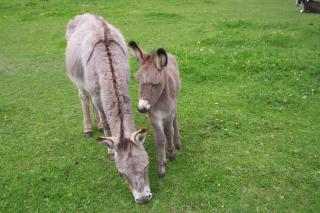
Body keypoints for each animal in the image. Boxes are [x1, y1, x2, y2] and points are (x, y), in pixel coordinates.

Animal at [65, 13, 152, 203]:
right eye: (121, 174)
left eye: (146, 165)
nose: (143, 199)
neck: (108, 63)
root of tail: (85, 14)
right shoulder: (97, 94)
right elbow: (106, 121)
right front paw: (110, 151)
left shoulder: (123, 83)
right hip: (81, 83)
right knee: (84, 98)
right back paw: (88, 129)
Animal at [129, 41, 181, 178]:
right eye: (138, 81)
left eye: (155, 84)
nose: (141, 108)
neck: (160, 102)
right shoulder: (153, 117)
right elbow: (160, 139)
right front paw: (162, 166)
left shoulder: (168, 114)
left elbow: (169, 132)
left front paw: (171, 153)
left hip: (175, 103)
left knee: (175, 120)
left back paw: (177, 142)